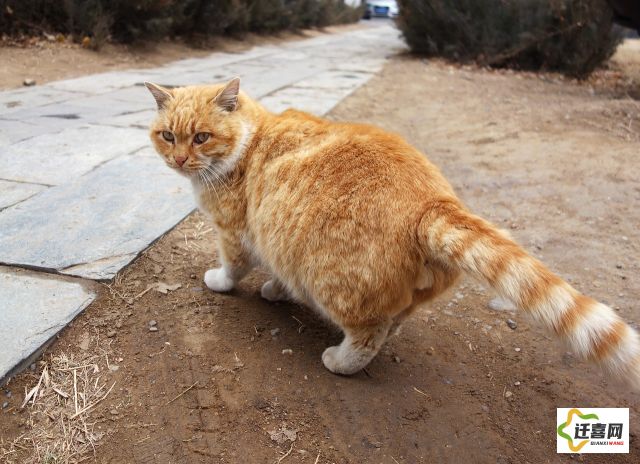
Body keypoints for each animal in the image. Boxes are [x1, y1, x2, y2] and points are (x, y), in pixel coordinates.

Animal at [145, 78, 640, 386]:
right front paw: (275, 290)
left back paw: (340, 360)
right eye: (168, 136)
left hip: (335, 284)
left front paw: (221, 282)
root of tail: (434, 203)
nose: (179, 159)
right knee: (393, 321)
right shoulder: (273, 244)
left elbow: (231, 268)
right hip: (402, 290)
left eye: (202, 137)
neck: (249, 142)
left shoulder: (234, 234)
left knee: (367, 334)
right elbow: (278, 275)